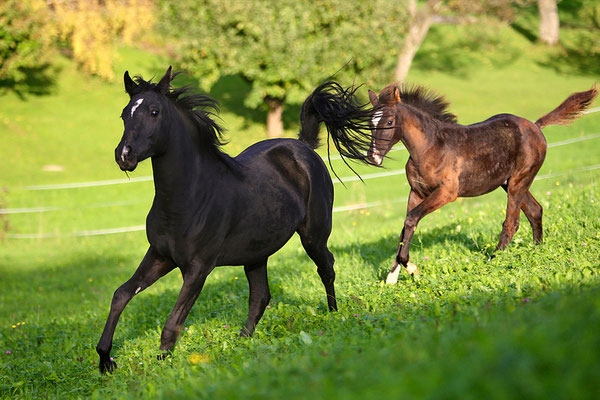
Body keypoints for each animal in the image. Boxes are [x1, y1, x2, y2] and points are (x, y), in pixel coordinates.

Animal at [96, 67, 372, 374]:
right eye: (124, 114)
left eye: (154, 112)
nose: (124, 155)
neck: (188, 197)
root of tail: (303, 146)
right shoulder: (160, 255)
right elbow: (121, 294)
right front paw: (106, 360)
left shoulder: (199, 268)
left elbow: (172, 324)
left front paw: (160, 367)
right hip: (256, 254)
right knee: (261, 296)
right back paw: (242, 342)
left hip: (313, 235)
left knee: (327, 268)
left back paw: (334, 315)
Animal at [366, 83, 596, 282]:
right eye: (370, 124)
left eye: (389, 122)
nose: (373, 157)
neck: (430, 147)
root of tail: (536, 126)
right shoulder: (416, 192)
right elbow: (406, 226)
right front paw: (392, 276)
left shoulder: (446, 193)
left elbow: (412, 219)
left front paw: (412, 269)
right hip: (509, 182)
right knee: (535, 210)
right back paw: (537, 249)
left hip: (518, 181)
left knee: (512, 222)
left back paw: (493, 260)